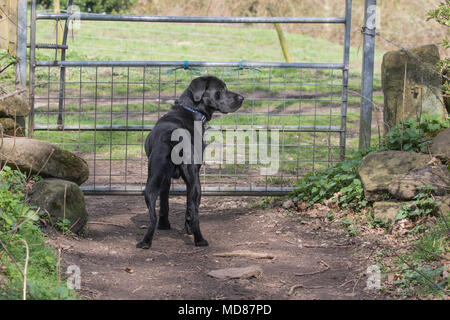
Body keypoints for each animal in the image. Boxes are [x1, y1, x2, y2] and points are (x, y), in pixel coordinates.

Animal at [137, 76, 244, 249]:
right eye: (222, 89)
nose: (242, 98)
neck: (191, 109)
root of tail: (173, 138)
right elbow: (190, 207)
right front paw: (187, 227)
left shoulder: (166, 179)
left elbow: (165, 202)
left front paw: (164, 225)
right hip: (195, 182)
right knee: (194, 211)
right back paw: (199, 240)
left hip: (151, 182)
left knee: (152, 215)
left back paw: (146, 242)